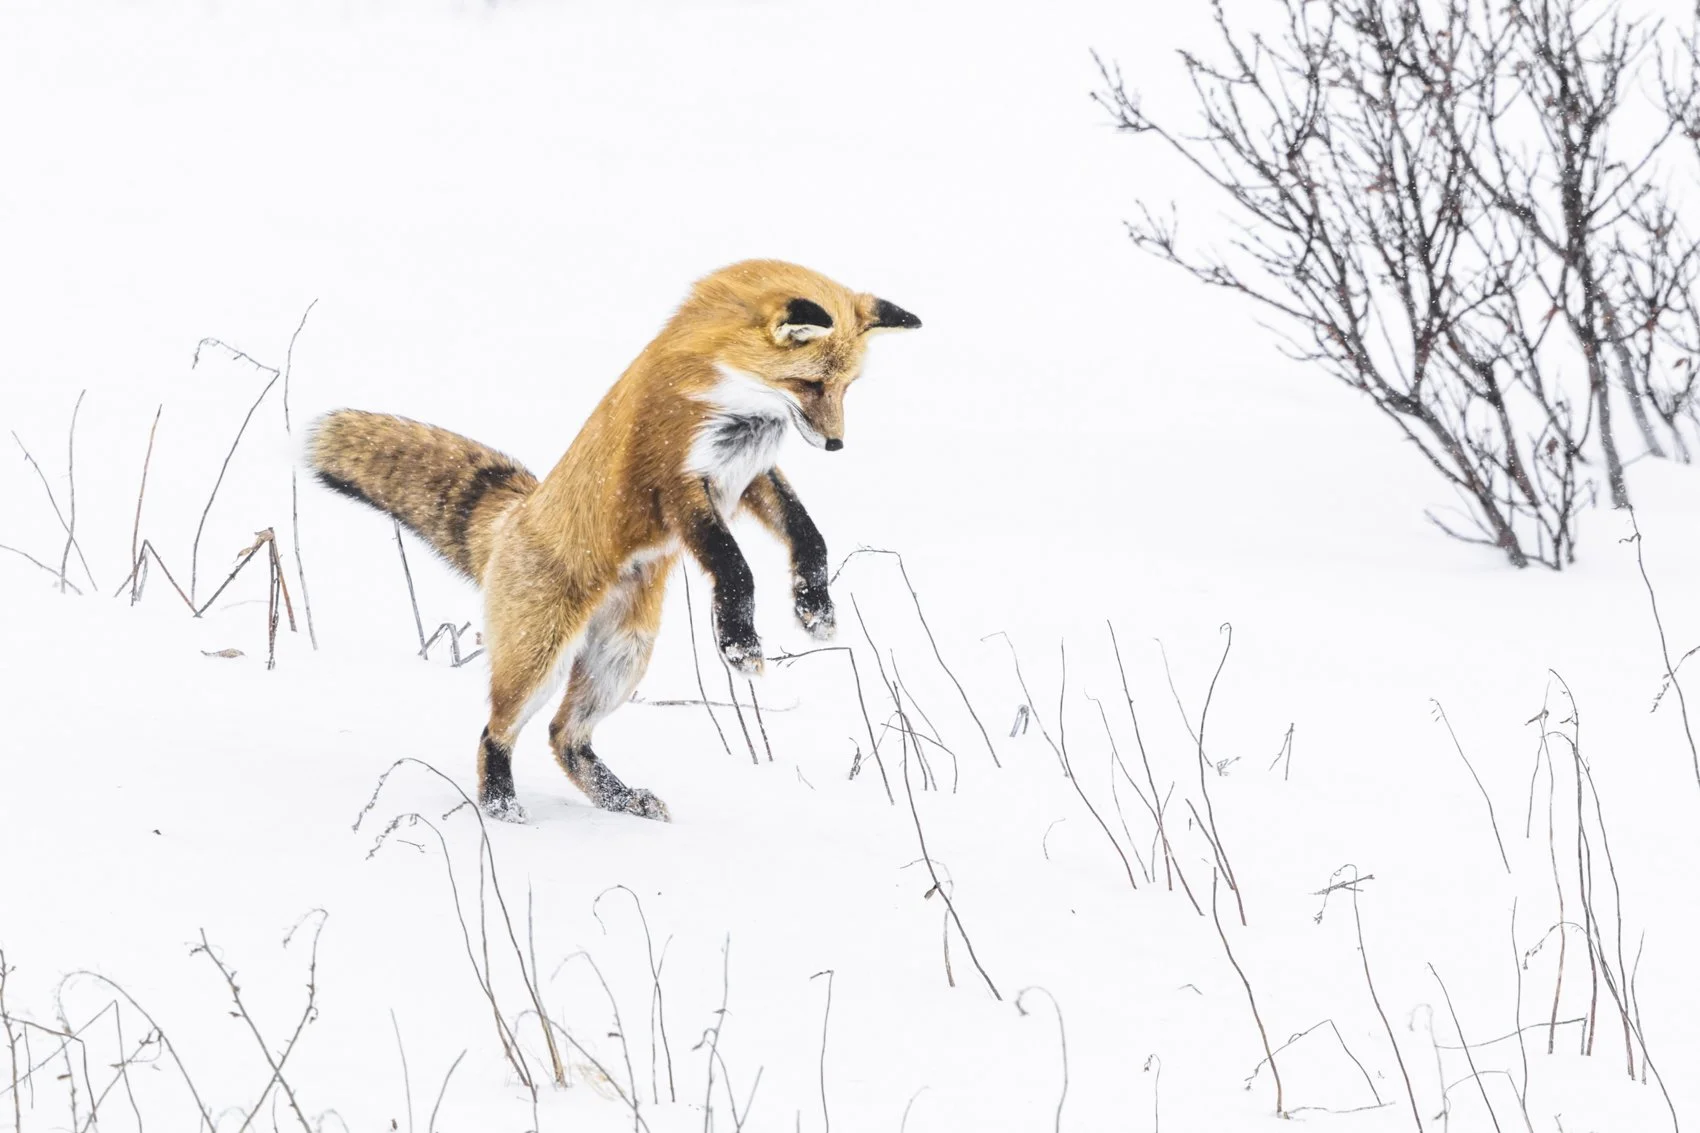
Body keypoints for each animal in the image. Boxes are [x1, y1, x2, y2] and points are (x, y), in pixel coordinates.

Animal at [308, 259, 920, 823]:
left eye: (846, 387)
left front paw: (815, 608)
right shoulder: (675, 480)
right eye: (809, 383)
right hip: (540, 661)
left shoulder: (750, 476)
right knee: (495, 731)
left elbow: (809, 536)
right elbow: (735, 565)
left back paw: (621, 799)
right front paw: (739, 643)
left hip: (621, 660)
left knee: (564, 736)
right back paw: (501, 806)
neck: (733, 402)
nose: (837, 444)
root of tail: (516, 515)